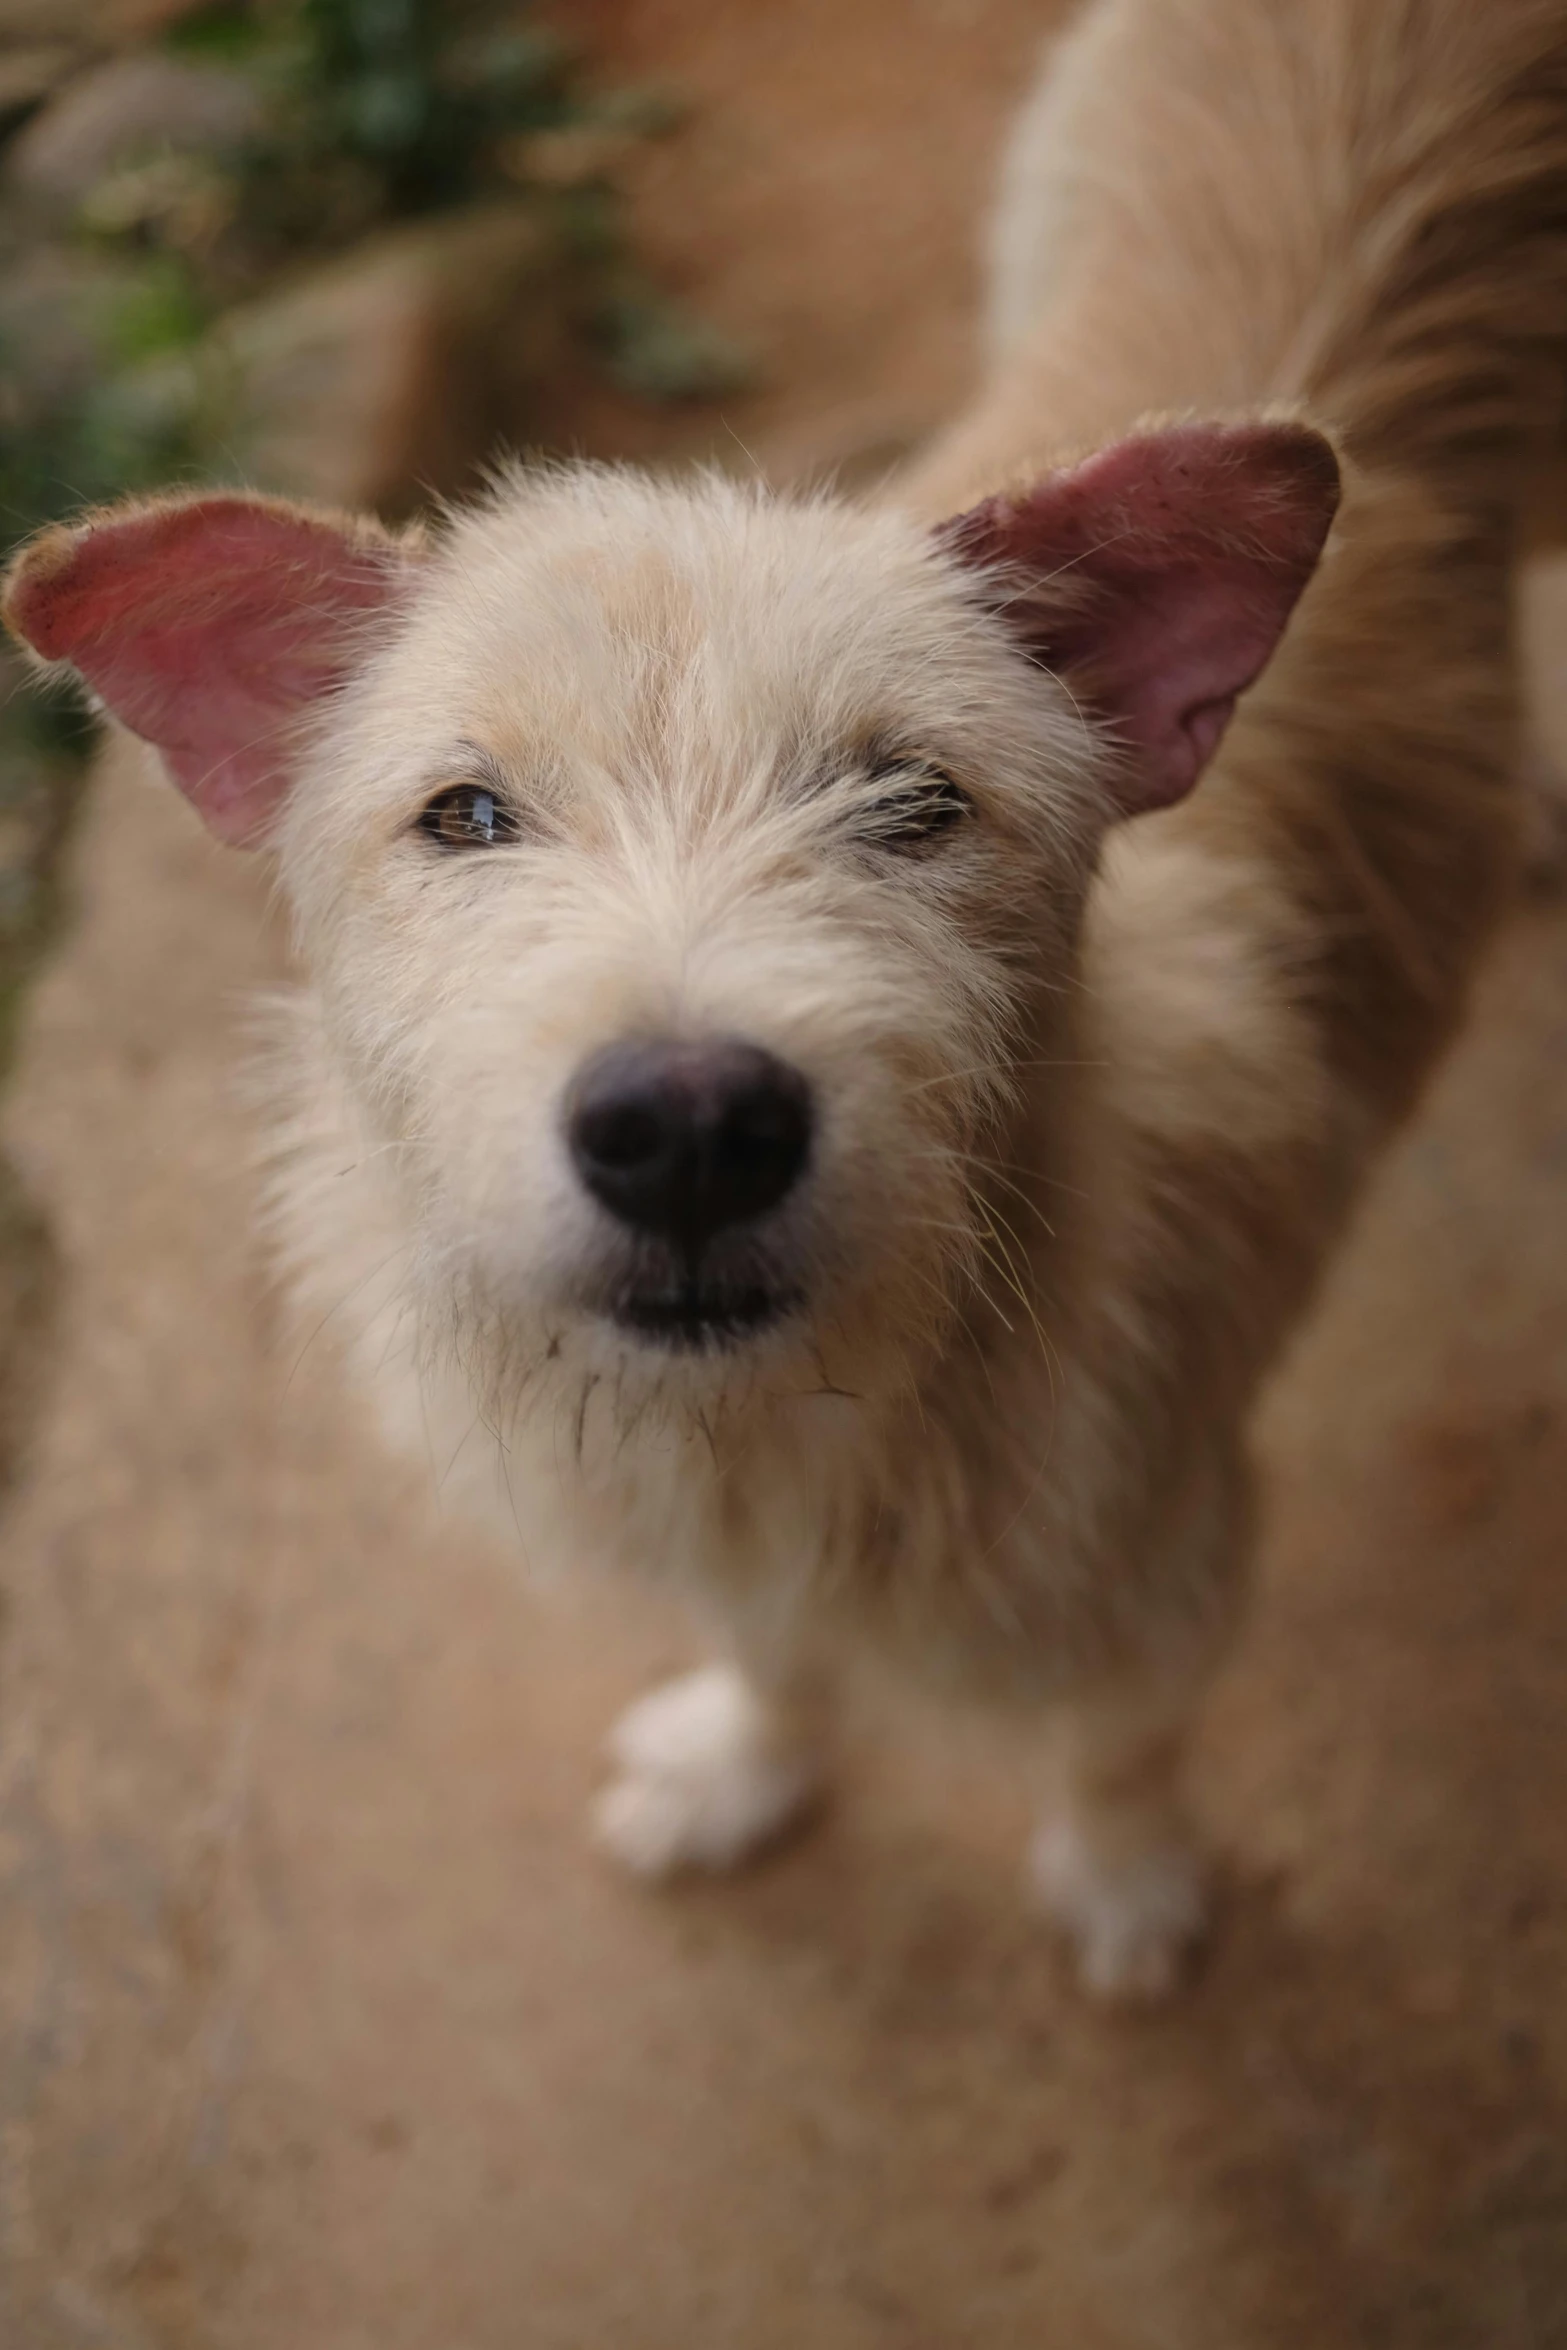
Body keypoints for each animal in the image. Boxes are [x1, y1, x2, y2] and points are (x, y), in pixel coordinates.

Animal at [9, 0, 1567, 2002]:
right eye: (466, 814)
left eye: (914, 804)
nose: (685, 1132)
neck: (824, 1406)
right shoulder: (728, 1537)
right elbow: (767, 1653)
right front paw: (741, 1771)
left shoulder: (1174, 1554)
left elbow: (1116, 1746)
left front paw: (1127, 1887)